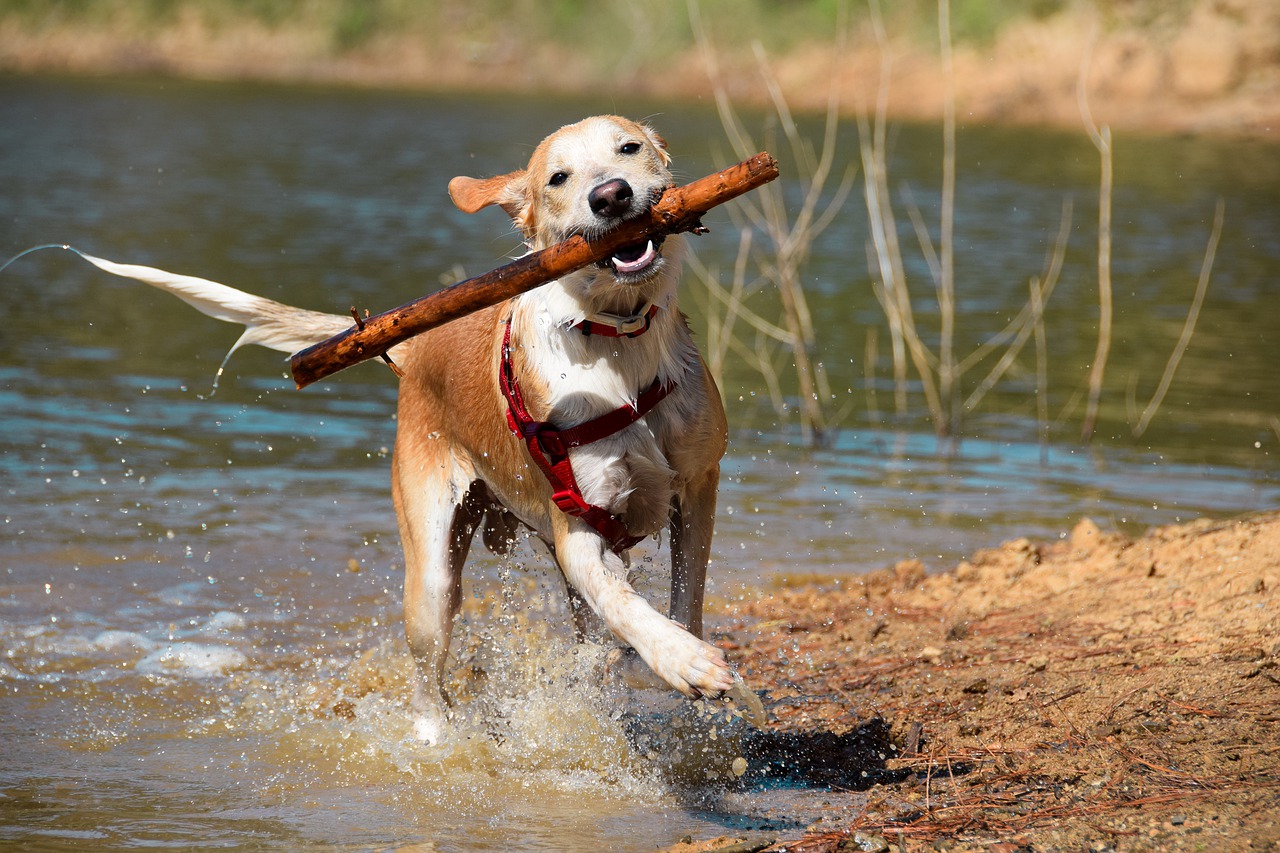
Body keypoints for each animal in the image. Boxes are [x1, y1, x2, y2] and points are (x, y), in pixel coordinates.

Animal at [60, 116, 737, 742]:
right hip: (431, 569)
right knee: (428, 672)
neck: (616, 344)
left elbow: (684, 590)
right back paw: (437, 740)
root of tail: (412, 347)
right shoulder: (577, 528)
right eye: (558, 179)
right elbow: (624, 603)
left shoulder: (696, 486)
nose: (612, 196)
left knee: (589, 634)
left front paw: (682, 652)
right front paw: (685, 662)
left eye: (630, 148)